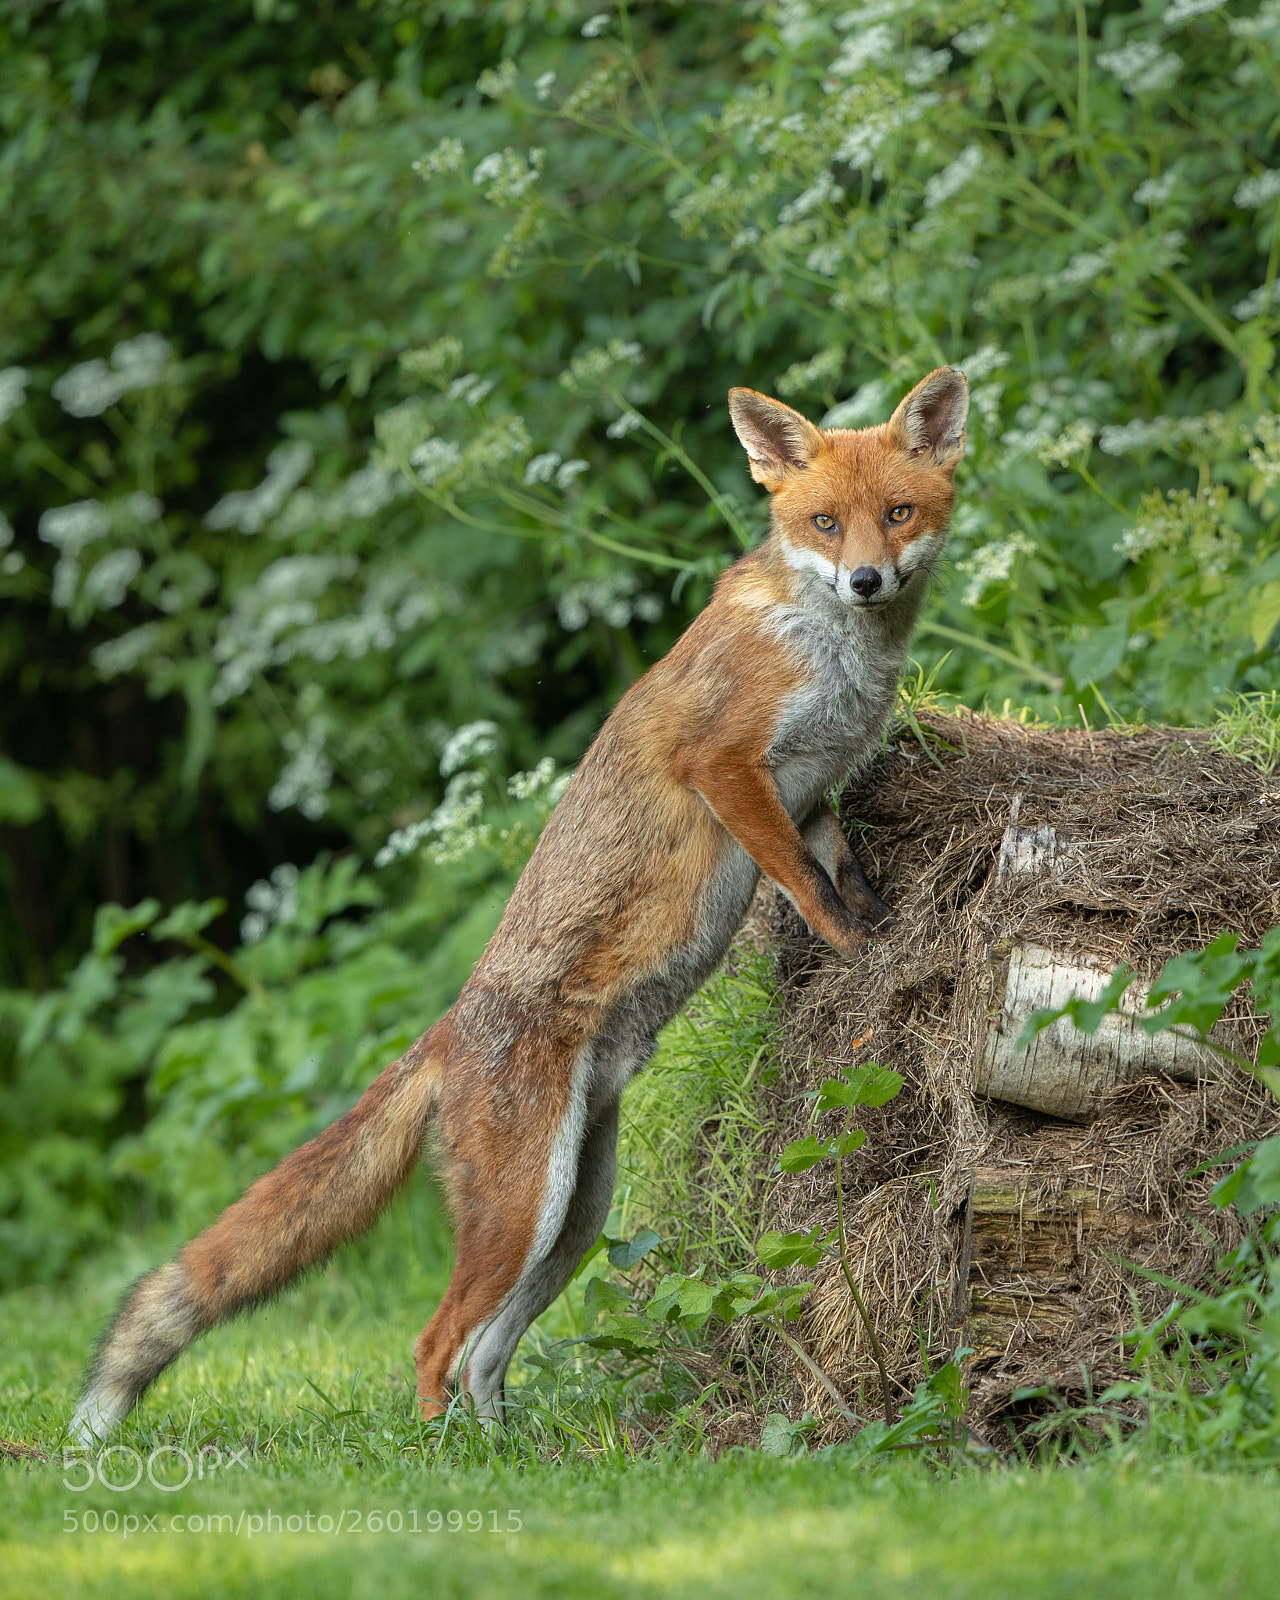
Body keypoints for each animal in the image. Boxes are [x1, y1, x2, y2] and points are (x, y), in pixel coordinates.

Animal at [70, 365, 968, 1445]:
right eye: (825, 523)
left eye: (896, 515)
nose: (866, 579)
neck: (831, 650)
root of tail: (446, 1029)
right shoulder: (726, 769)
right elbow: (803, 881)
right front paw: (854, 947)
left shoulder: (810, 789)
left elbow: (839, 867)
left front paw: (882, 921)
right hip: (521, 1211)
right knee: (434, 1344)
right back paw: (442, 1455)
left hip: (573, 1213)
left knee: (485, 1352)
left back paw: (517, 1451)